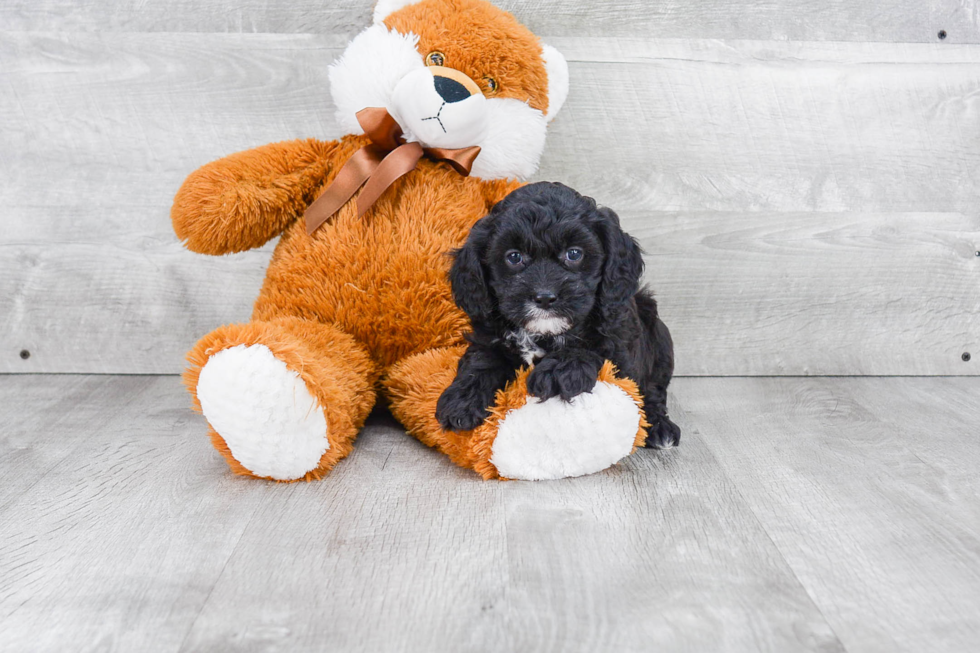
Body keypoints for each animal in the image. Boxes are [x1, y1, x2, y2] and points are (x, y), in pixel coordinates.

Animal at [436, 183, 680, 448]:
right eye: (513, 256)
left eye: (574, 254)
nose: (544, 297)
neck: (545, 334)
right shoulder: (488, 336)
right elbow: (481, 361)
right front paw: (462, 400)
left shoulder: (618, 346)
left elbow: (593, 350)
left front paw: (557, 371)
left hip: (658, 334)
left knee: (652, 390)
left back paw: (660, 427)